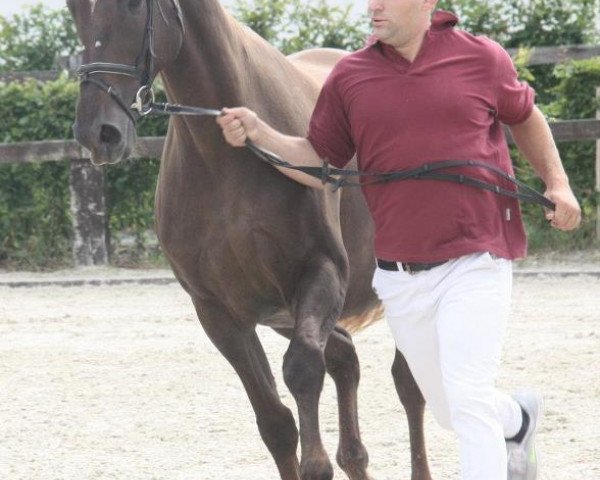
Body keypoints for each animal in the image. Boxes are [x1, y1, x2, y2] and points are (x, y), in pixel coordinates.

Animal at [65, 1, 432, 478]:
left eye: (132, 6)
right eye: (74, 8)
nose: (97, 133)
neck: (227, 158)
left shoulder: (320, 274)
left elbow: (302, 371)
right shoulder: (219, 311)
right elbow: (275, 423)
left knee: (409, 384)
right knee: (346, 361)